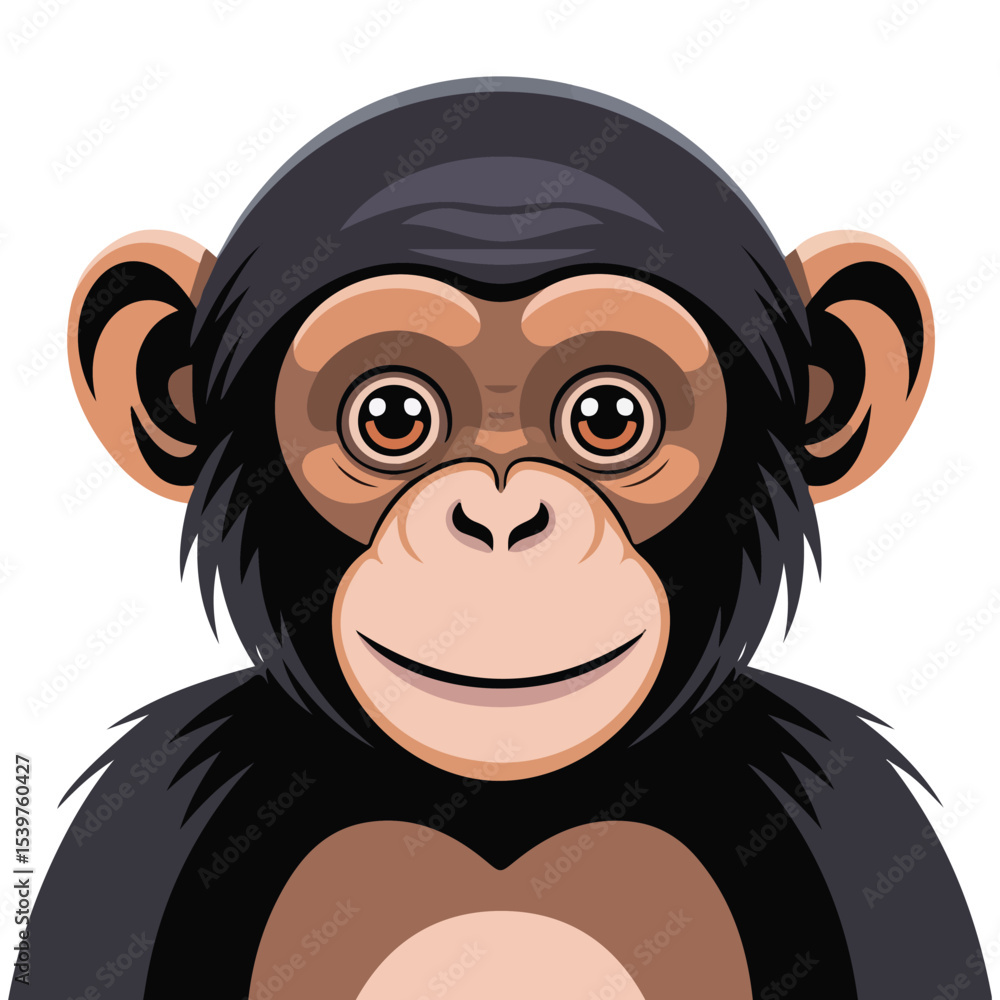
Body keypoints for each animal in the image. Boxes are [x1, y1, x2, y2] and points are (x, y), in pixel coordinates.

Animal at [15, 77, 988, 999]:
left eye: (609, 415)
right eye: (392, 415)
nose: (500, 522)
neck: (503, 809)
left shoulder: (845, 805)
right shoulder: (152, 806)